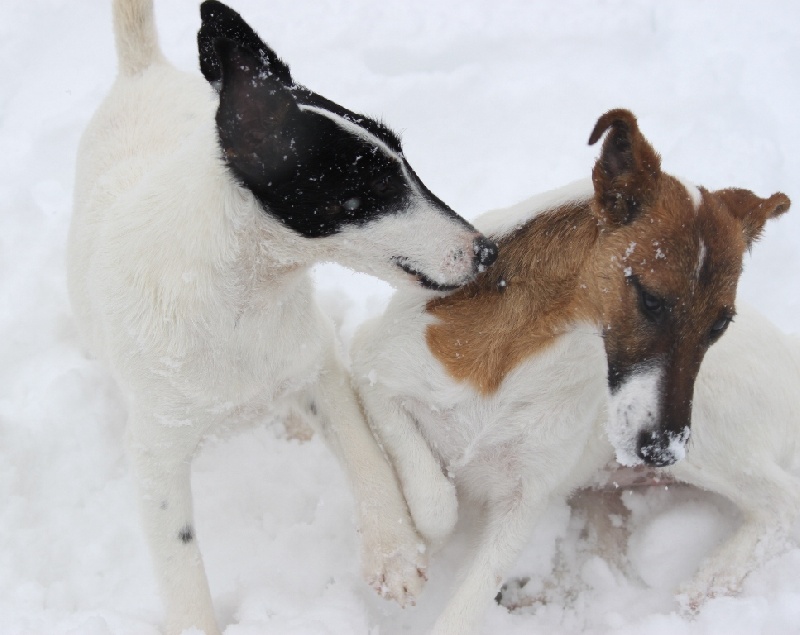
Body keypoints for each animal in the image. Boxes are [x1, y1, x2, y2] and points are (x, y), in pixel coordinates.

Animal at [67, 2, 494, 632]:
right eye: (367, 188)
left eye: (403, 159)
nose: (487, 252)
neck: (241, 301)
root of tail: (142, 71)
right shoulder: (155, 456)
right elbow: (181, 566)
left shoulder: (319, 365)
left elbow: (366, 455)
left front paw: (392, 550)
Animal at [354, 110, 792, 635]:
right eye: (651, 299)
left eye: (720, 323)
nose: (662, 450)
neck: (528, 350)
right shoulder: (370, 370)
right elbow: (436, 502)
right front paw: (420, 541)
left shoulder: (525, 499)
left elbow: (465, 606)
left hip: (707, 436)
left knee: (783, 501)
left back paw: (711, 577)